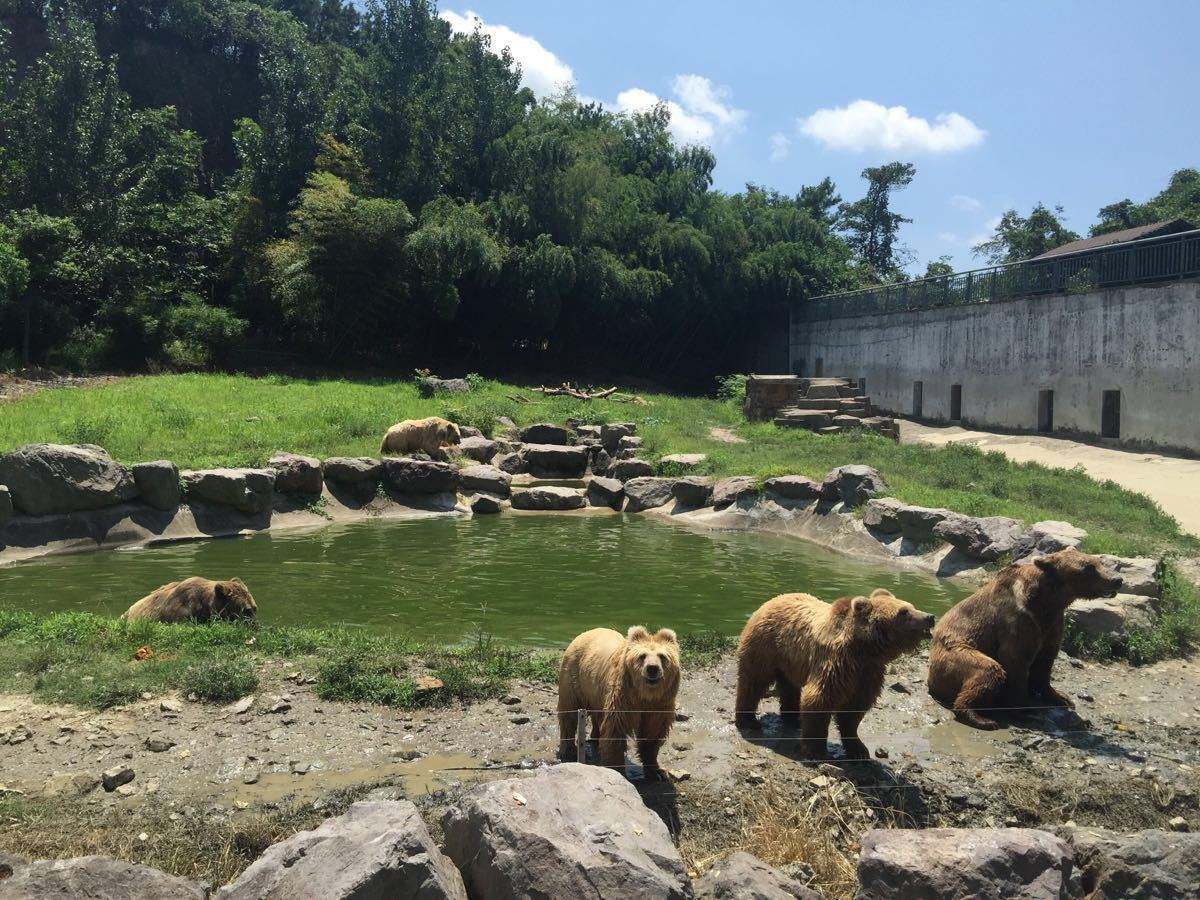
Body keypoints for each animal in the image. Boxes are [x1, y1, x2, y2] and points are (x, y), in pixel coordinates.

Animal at [556, 628, 681, 782]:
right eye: (642, 656)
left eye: (662, 656)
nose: (652, 668)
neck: (645, 694)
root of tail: (586, 632)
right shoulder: (625, 699)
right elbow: (615, 729)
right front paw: (618, 770)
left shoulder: (659, 704)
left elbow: (653, 733)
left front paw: (658, 771)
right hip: (574, 676)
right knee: (569, 713)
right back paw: (568, 751)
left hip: (597, 693)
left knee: (597, 717)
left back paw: (595, 740)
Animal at [729, 592, 936, 763]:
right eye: (904, 611)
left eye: (911, 605)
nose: (930, 617)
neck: (866, 650)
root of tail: (770, 601)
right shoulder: (836, 663)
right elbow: (820, 699)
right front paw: (816, 750)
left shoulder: (867, 673)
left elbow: (854, 709)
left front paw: (859, 749)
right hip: (765, 646)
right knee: (753, 681)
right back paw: (748, 721)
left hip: (789, 660)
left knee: (788, 686)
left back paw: (793, 718)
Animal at [926, 547, 1123, 729]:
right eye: (1088, 567)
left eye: (1098, 561)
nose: (1117, 580)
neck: (1046, 601)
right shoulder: (1018, 621)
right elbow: (1015, 660)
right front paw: (1024, 709)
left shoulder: (1052, 624)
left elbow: (1046, 661)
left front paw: (1061, 697)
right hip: (955, 653)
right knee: (987, 670)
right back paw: (981, 718)